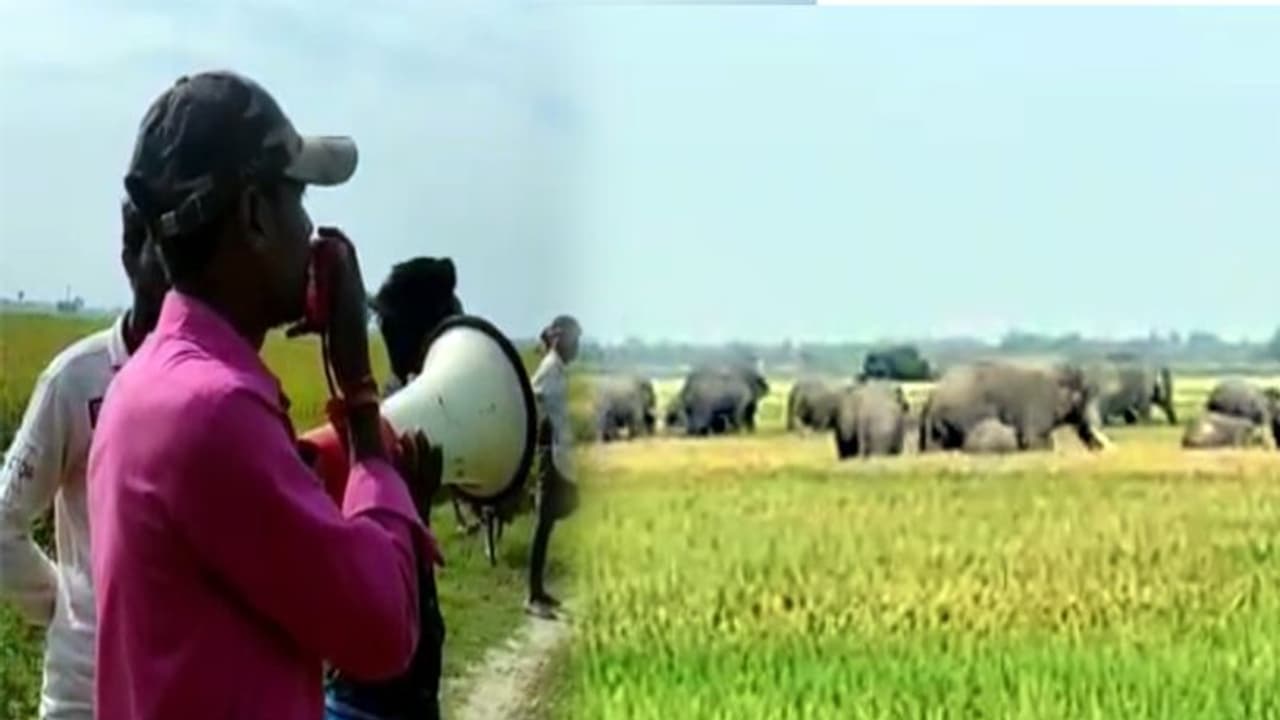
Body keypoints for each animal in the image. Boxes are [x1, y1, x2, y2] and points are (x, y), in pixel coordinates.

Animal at [918, 360, 1113, 453]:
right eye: (1084, 397)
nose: (1099, 423)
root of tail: (933, 395)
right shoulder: (1038, 408)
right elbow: (1036, 439)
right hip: (964, 413)